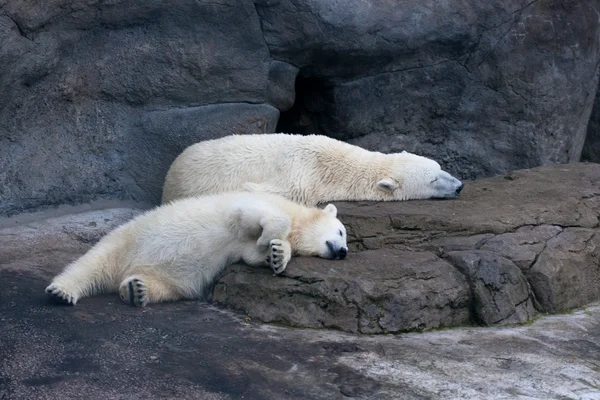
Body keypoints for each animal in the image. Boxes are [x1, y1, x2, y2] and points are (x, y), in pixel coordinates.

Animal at [45, 191, 346, 306]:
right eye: (342, 232)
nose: (343, 252)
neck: (297, 213)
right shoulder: (252, 202)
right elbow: (253, 217)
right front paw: (271, 240)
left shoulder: (240, 245)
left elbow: (252, 254)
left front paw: (277, 255)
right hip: (125, 240)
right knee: (91, 264)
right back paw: (62, 291)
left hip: (166, 278)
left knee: (165, 287)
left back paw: (136, 290)